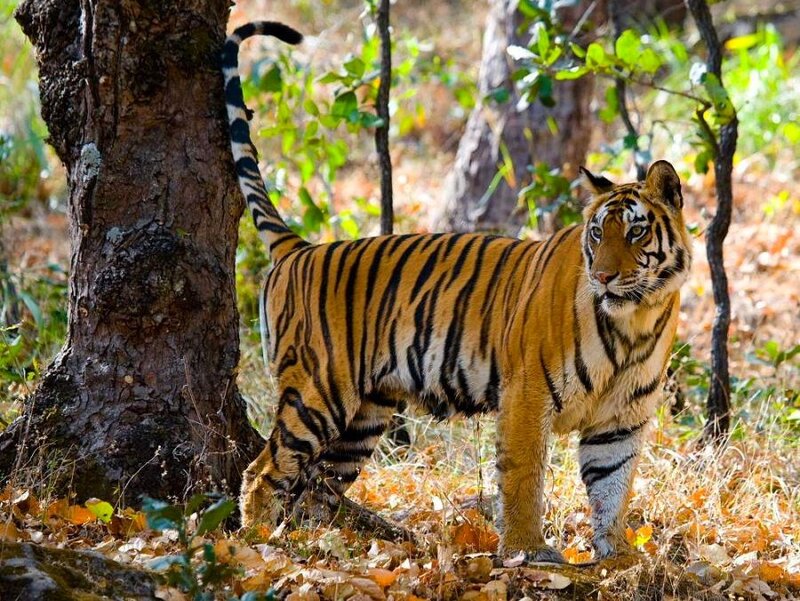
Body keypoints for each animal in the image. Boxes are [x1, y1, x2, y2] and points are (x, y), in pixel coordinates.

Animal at [221, 21, 692, 561]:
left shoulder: (621, 420)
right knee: (263, 472)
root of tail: (300, 248)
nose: (605, 276)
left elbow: (613, 487)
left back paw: (316, 548)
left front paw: (618, 556)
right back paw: (257, 545)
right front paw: (529, 551)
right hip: (318, 392)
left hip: (363, 417)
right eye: (597, 233)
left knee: (317, 487)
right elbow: (524, 477)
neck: (636, 319)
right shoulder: (527, 394)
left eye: (635, 232)